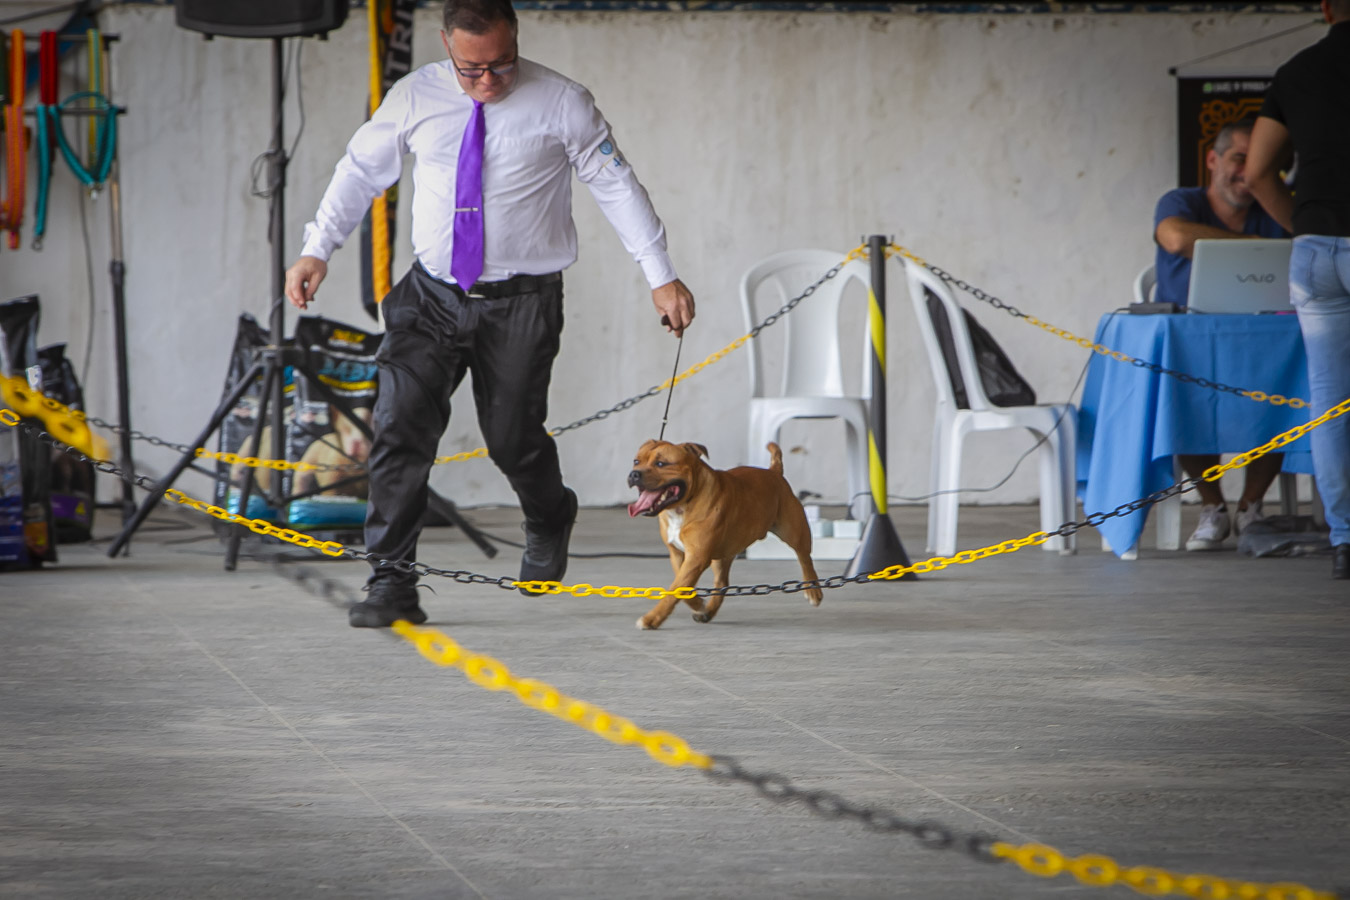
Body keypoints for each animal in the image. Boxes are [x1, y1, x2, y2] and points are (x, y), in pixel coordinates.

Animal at [627, 439, 823, 630]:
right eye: (636, 461)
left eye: (661, 463)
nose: (634, 474)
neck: (683, 506)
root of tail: (774, 472)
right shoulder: (677, 554)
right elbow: (682, 586)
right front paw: (698, 604)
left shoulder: (697, 557)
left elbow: (676, 588)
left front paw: (651, 619)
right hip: (723, 556)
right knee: (722, 584)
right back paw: (708, 612)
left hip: (795, 532)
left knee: (805, 558)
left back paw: (813, 590)